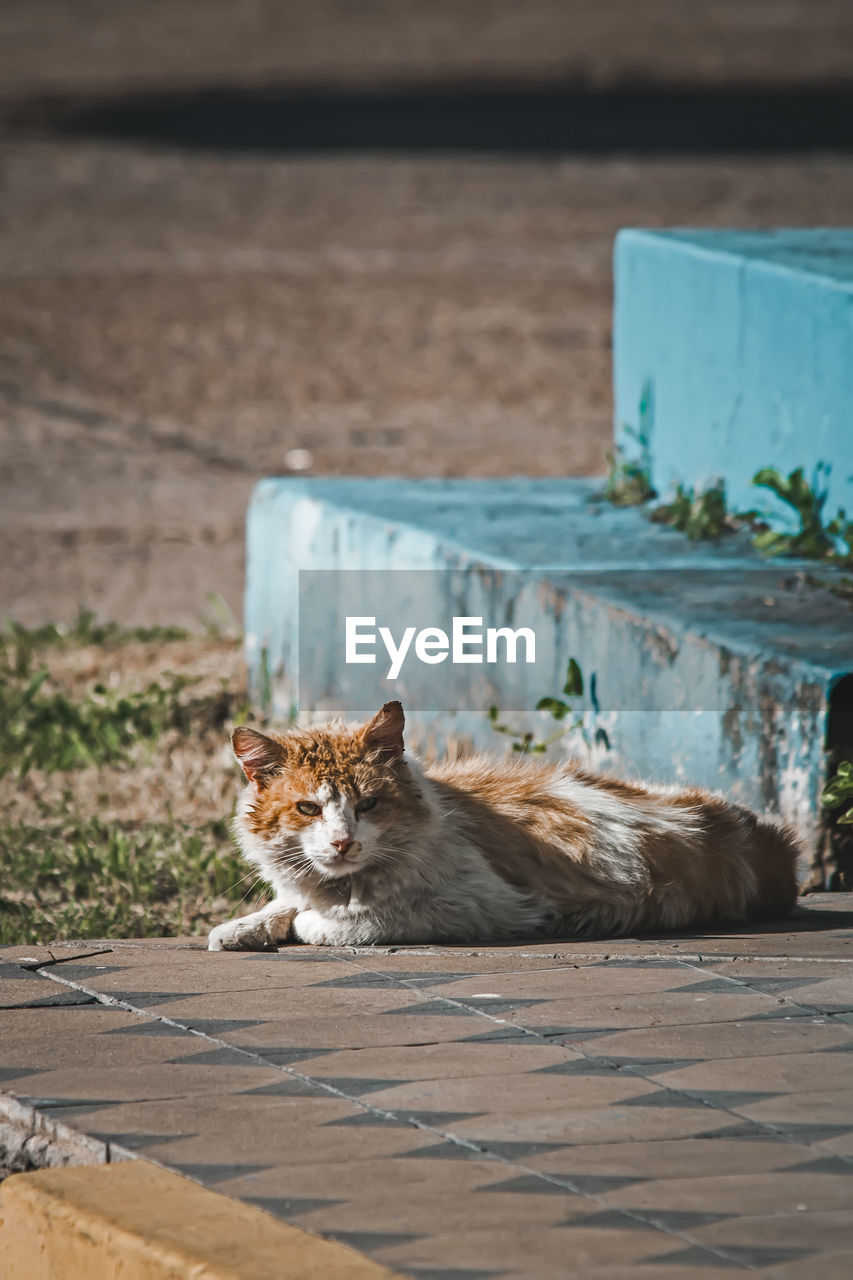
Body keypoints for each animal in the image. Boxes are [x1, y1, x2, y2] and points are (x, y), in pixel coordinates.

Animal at [206, 701, 799, 952]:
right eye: (308, 809)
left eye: (369, 805)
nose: (342, 842)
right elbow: (283, 903)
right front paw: (239, 928)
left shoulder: (488, 905)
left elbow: (335, 921)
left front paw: (311, 920)